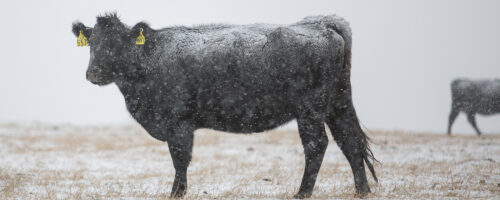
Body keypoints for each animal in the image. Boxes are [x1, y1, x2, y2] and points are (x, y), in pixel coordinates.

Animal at [70, 13, 376, 198]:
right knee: (349, 140)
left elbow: (180, 159)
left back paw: (302, 193)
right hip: (337, 102)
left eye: (118, 44)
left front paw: (176, 193)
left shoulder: (179, 123)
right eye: (91, 43)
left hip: (309, 109)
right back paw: (361, 191)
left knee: (316, 145)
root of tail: (321, 23)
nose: (93, 73)